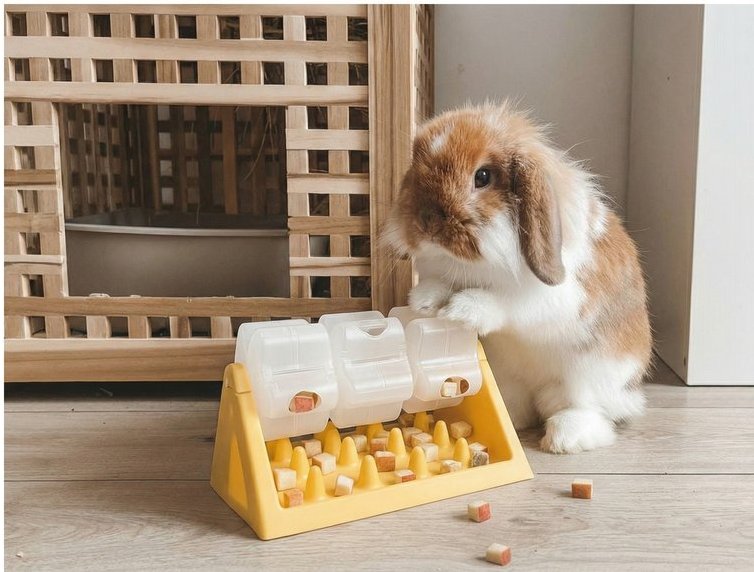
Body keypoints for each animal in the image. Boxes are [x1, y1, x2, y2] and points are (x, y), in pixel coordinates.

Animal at [381, 102, 652, 453]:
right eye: (414, 168)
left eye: (483, 176)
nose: (425, 221)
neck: (474, 266)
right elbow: (438, 285)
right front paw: (423, 302)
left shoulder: (548, 299)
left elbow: (505, 303)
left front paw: (461, 310)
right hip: (509, 374)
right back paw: (512, 416)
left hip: (591, 372)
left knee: (589, 409)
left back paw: (566, 436)